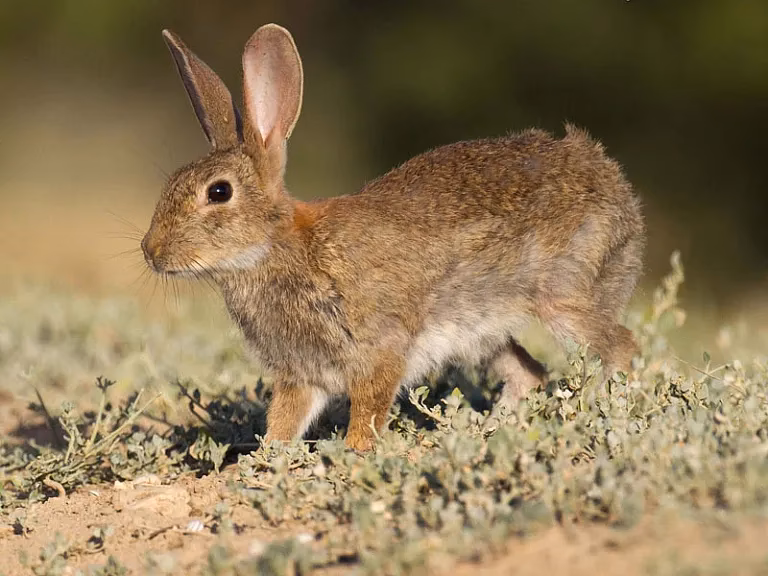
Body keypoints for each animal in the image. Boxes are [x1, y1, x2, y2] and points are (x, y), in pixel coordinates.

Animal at [142, 23, 644, 451]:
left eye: (219, 192)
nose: (151, 251)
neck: (279, 248)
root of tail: (614, 183)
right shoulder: (302, 376)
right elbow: (284, 422)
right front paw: (265, 461)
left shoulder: (379, 350)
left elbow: (367, 414)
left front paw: (353, 453)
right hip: (483, 332)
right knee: (529, 373)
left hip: (563, 297)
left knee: (621, 349)